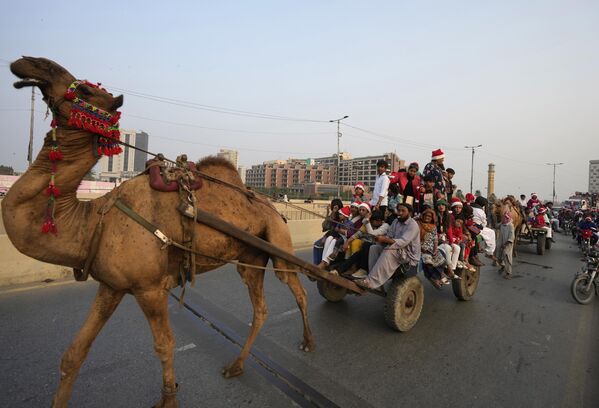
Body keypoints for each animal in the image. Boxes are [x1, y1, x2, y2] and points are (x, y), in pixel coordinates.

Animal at [4, 57, 316, 408]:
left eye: (84, 89)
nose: (29, 63)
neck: (93, 219)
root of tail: (274, 208)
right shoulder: (111, 286)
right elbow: (74, 354)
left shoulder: (150, 288)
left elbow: (165, 343)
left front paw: (168, 399)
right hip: (251, 256)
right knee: (260, 309)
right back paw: (236, 365)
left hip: (278, 241)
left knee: (297, 288)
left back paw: (307, 342)